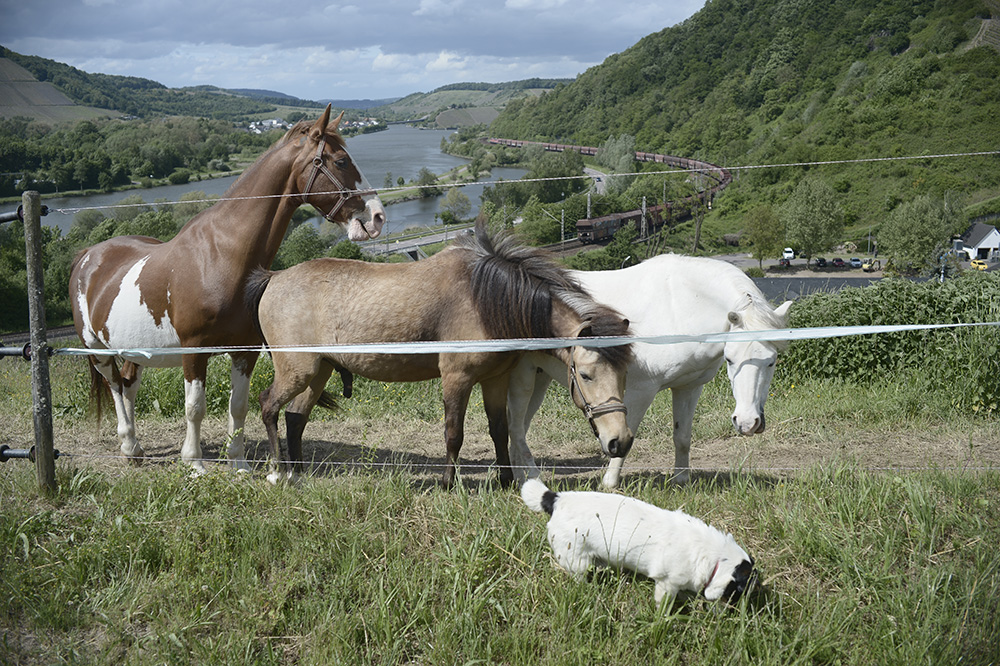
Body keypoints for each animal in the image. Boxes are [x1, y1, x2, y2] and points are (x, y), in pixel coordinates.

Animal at [72, 105, 384, 472]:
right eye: (341, 162)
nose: (377, 216)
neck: (219, 256)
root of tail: (87, 256)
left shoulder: (244, 351)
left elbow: (239, 406)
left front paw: (239, 463)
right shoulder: (194, 351)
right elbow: (195, 407)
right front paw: (194, 464)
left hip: (135, 347)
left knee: (128, 383)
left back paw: (134, 448)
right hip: (97, 350)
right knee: (116, 387)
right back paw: (127, 444)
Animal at [244, 220, 632, 486]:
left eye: (623, 375)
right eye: (586, 375)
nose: (621, 441)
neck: (486, 300)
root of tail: (274, 277)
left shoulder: (495, 378)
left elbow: (499, 429)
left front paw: (506, 480)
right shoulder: (456, 378)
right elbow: (453, 432)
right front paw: (448, 482)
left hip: (319, 370)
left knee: (295, 417)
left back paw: (298, 473)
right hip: (298, 369)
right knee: (268, 406)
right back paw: (277, 472)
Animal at [512, 252, 792, 486]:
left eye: (771, 361)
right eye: (730, 359)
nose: (747, 423)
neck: (679, 306)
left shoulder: (689, 387)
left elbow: (682, 436)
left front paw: (681, 481)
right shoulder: (641, 391)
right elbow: (626, 435)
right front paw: (609, 484)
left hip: (538, 379)